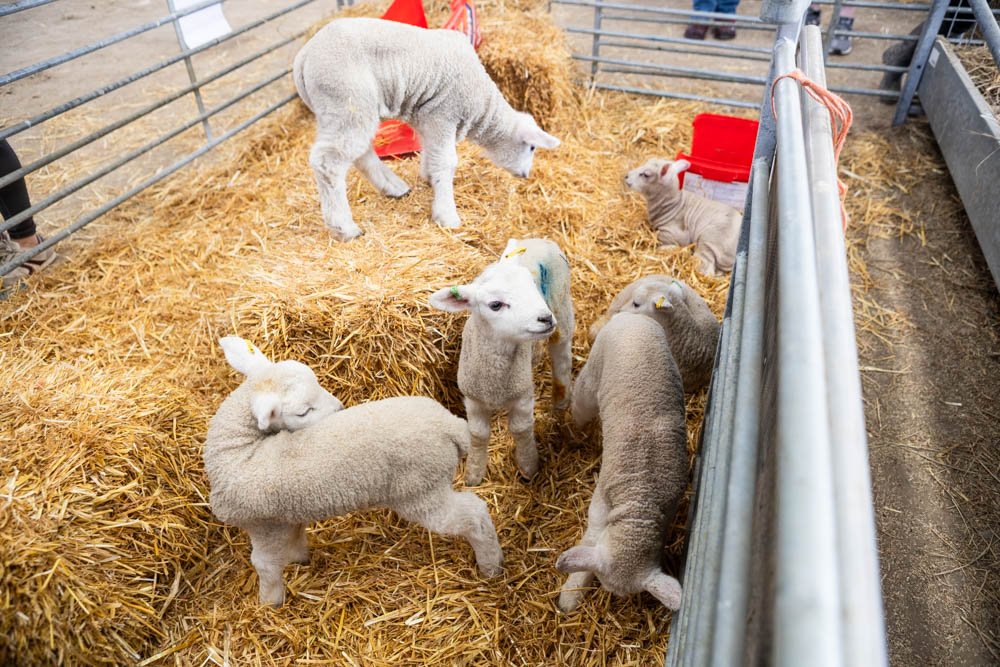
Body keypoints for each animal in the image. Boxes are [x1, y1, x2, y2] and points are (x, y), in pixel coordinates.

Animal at [205, 337, 504, 607]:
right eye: (303, 412)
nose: (340, 409)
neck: (240, 449)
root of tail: (450, 425)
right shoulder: (287, 519)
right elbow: (297, 541)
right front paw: (301, 561)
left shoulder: (265, 527)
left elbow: (264, 566)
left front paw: (269, 603)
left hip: (422, 493)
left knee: (474, 514)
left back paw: (491, 566)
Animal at [293, 17, 560, 240]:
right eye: (532, 147)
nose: (525, 174)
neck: (481, 102)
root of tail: (303, 57)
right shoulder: (443, 115)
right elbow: (446, 161)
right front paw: (446, 214)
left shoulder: (428, 119)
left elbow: (431, 153)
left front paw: (429, 178)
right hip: (347, 100)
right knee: (328, 162)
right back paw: (344, 227)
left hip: (340, 111)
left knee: (360, 153)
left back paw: (394, 187)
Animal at [429, 238, 574, 485]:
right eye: (495, 305)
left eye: (533, 287)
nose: (545, 318)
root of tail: (538, 239)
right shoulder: (473, 399)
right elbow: (478, 434)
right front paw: (474, 474)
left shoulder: (523, 396)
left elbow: (521, 430)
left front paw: (529, 466)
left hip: (562, 310)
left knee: (561, 358)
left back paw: (560, 405)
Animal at [556, 312, 687, 613]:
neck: (641, 503)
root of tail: (632, 316)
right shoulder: (600, 505)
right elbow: (591, 539)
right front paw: (571, 593)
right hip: (594, 370)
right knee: (582, 401)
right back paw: (575, 430)